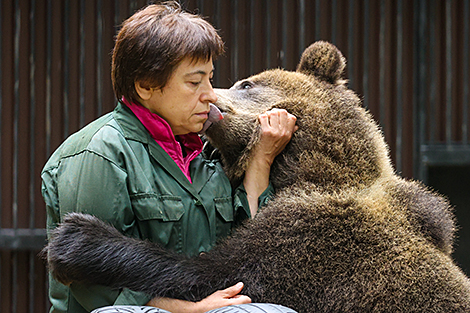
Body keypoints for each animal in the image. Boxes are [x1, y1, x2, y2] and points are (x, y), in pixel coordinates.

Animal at [43, 42, 470, 312]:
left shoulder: (312, 246)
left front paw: (78, 238)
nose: (210, 97)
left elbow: (211, 276)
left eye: (246, 82)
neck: (321, 169)